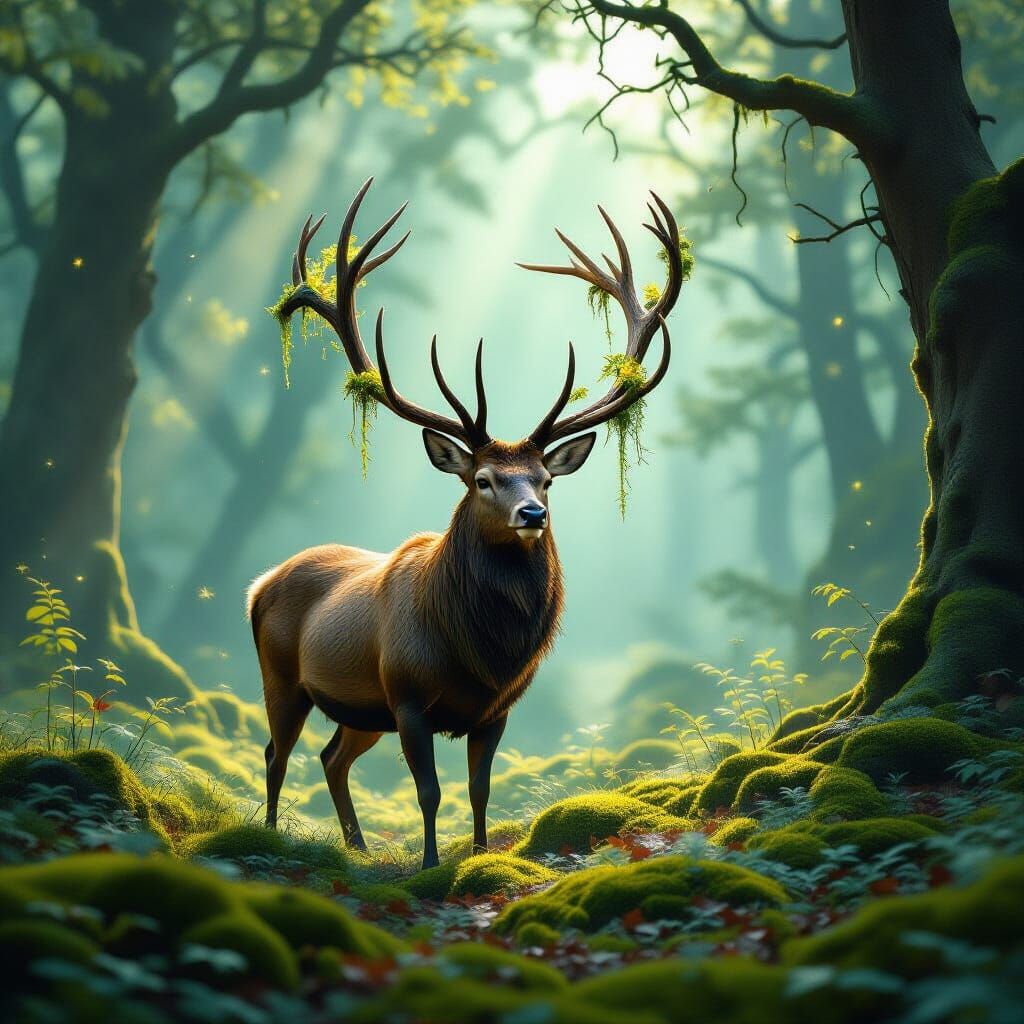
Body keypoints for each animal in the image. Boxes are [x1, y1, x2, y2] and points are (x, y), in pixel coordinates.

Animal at [248, 179, 684, 869]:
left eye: (545, 478)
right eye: (483, 480)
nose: (533, 514)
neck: (480, 654)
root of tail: (259, 584)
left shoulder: (496, 708)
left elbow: (479, 790)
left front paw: (479, 855)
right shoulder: (406, 695)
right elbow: (428, 792)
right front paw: (429, 865)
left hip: (358, 709)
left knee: (331, 757)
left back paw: (358, 849)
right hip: (284, 676)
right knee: (275, 752)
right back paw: (268, 834)